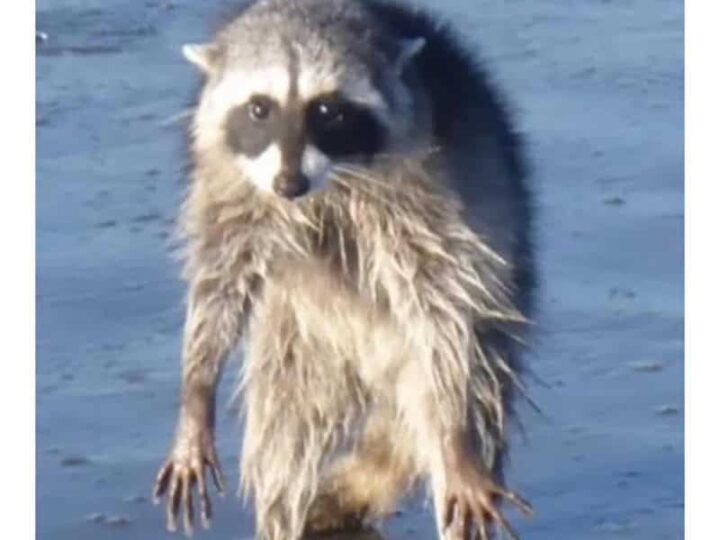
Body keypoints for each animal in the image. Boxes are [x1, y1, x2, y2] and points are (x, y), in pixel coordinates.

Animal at [153, 1, 535, 539]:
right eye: (259, 108)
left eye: (328, 110)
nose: (288, 183)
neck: (323, 189)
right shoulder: (227, 187)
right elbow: (219, 283)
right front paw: (197, 387)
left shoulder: (429, 198)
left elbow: (442, 309)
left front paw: (455, 435)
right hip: (301, 345)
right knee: (284, 440)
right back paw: (281, 519)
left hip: (493, 312)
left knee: (465, 388)